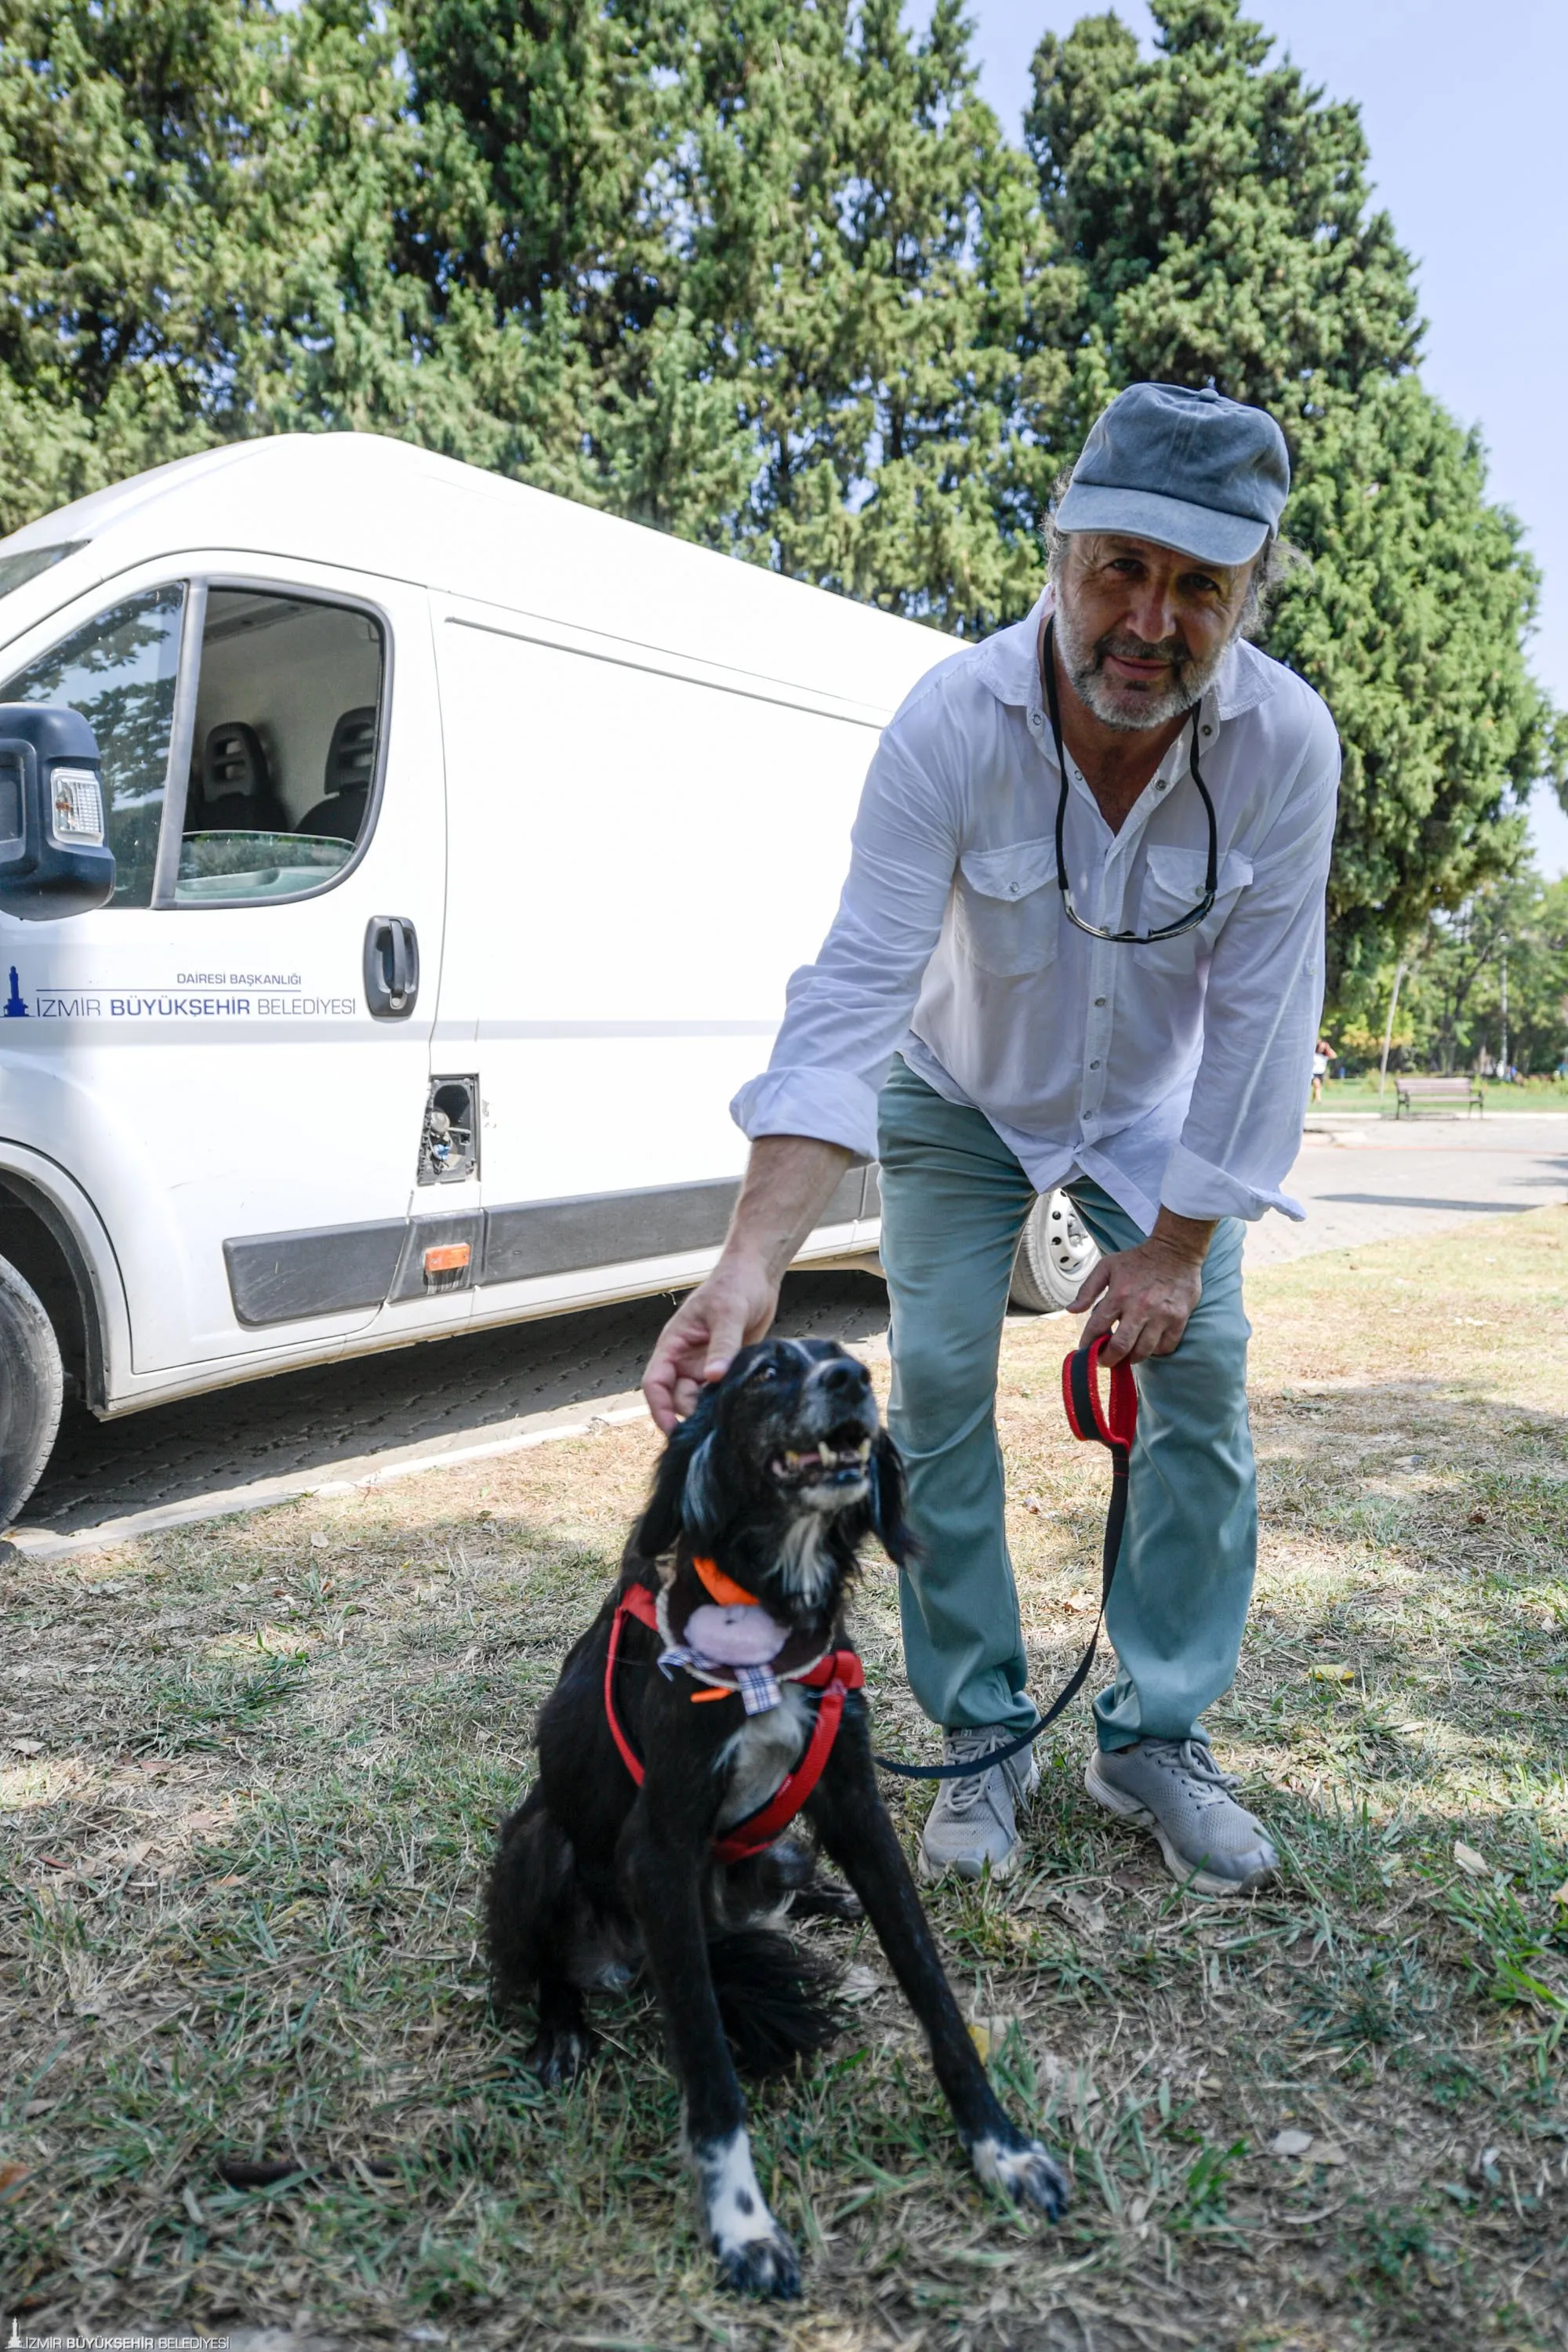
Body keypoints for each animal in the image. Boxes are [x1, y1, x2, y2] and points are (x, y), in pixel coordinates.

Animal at [491, 1345, 1072, 2296]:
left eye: (846, 1354)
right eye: (765, 1370)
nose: (851, 1381)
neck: (768, 1618)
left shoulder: (855, 1809)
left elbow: (936, 1997)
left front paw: (1001, 2149)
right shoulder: (658, 1851)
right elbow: (709, 2069)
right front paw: (743, 2227)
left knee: (781, 1884)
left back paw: (821, 1901)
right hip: (535, 1842)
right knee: (542, 1959)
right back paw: (563, 2029)